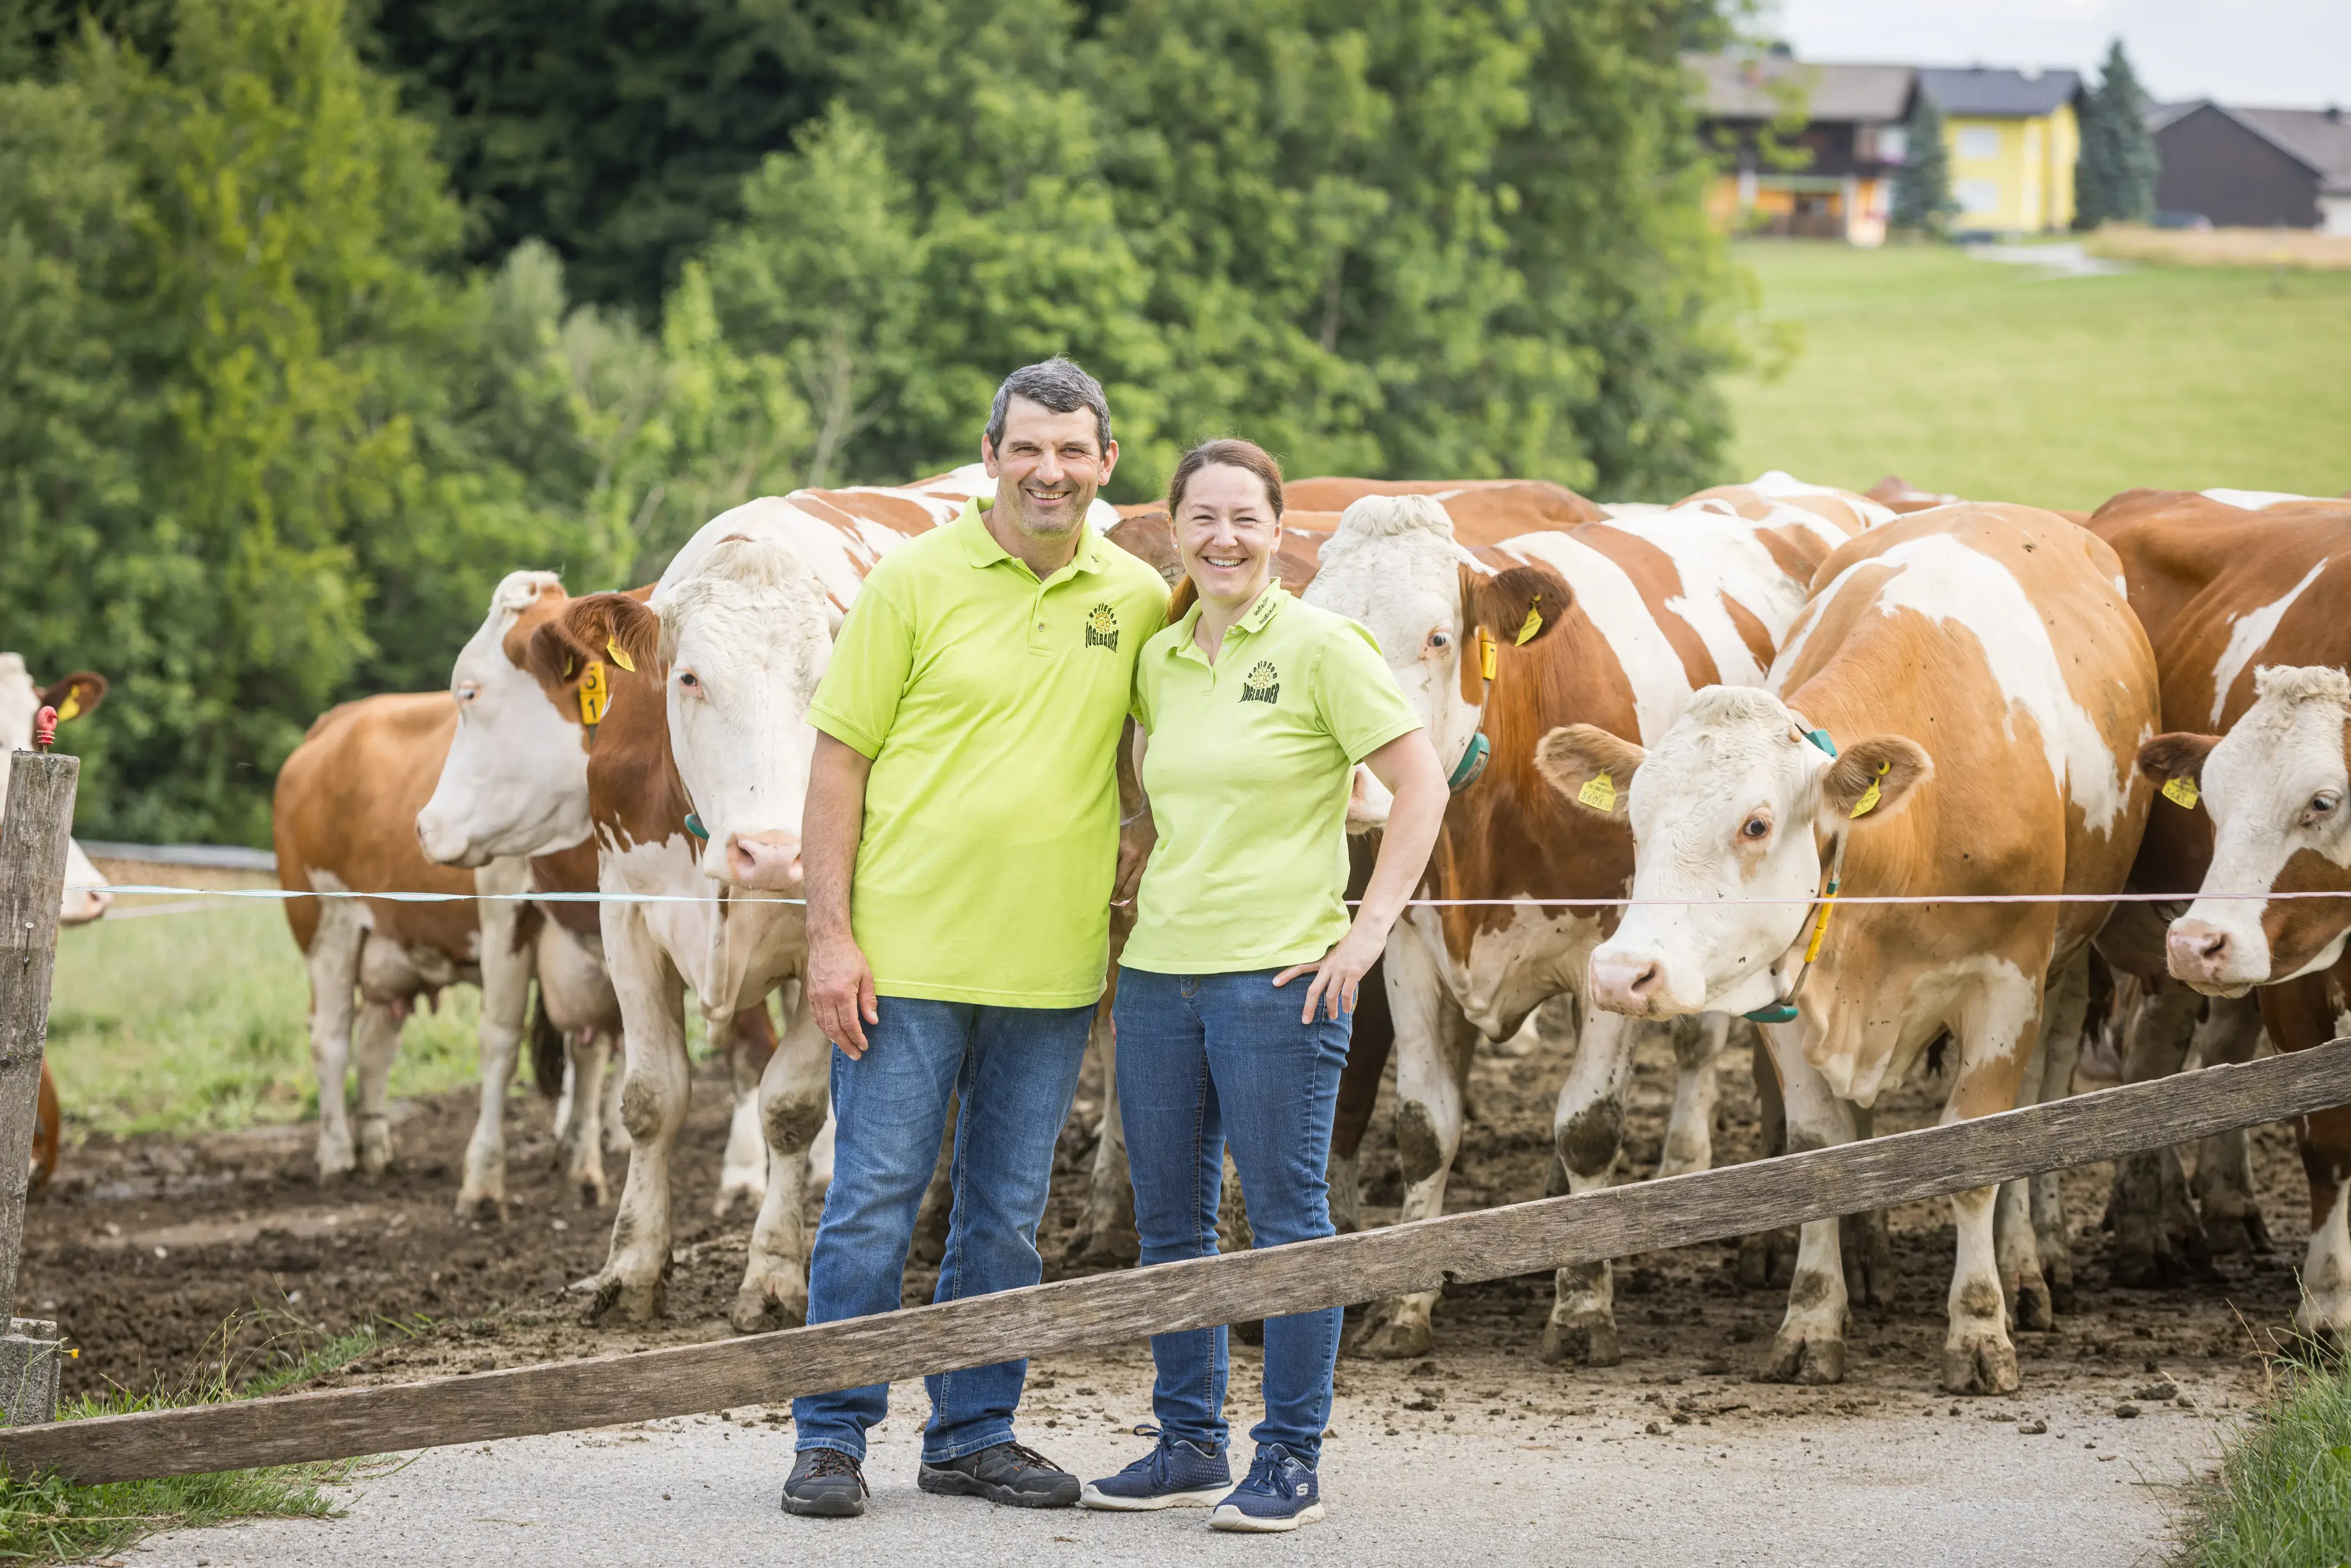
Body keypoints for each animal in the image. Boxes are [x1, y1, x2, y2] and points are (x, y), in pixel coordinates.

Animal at [1297, 484, 1862, 1354]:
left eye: (1436, 637)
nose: (1356, 781)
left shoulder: (1616, 950)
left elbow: (1588, 1125)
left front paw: (1583, 1308)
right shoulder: (1410, 948)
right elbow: (1425, 1129)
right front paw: (1404, 1308)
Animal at [1542, 510, 2153, 1392]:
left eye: (1756, 824)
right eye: (1635, 818)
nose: (1625, 975)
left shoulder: (2006, 984)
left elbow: (1978, 1154)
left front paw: (1979, 1330)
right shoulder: (1791, 994)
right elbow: (1818, 1152)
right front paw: (1811, 1319)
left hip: (2067, 970)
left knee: (2045, 1093)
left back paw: (2029, 1264)